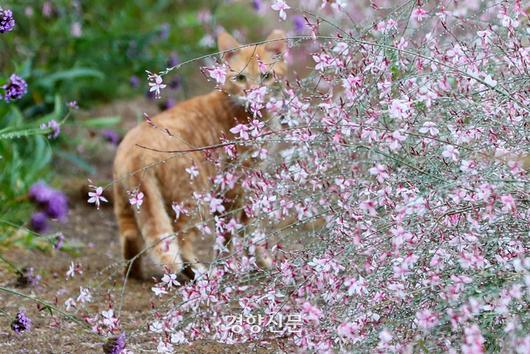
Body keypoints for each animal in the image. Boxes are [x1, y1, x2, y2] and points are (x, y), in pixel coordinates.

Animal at [111, 30, 284, 280]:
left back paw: (134, 273)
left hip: (127, 205)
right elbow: (247, 230)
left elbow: (227, 233)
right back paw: (197, 273)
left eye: (266, 76)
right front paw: (257, 261)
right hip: (192, 200)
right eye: (241, 78)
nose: (253, 93)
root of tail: (136, 151)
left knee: (131, 238)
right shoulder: (239, 184)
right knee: (180, 241)